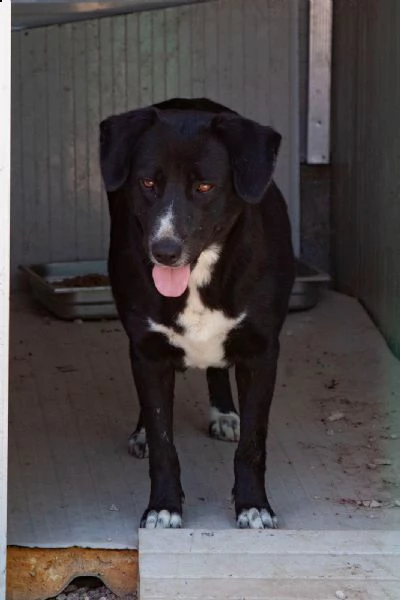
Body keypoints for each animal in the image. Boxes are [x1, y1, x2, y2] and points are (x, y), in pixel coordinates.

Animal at [100, 98, 295, 529]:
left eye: (204, 187)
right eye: (147, 183)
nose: (164, 251)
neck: (198, 275)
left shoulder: (262, 353)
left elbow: (253, 443)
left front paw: (254, 505)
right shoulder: (148, 351)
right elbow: (163, 443)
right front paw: (163, 507)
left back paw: (225, 413)